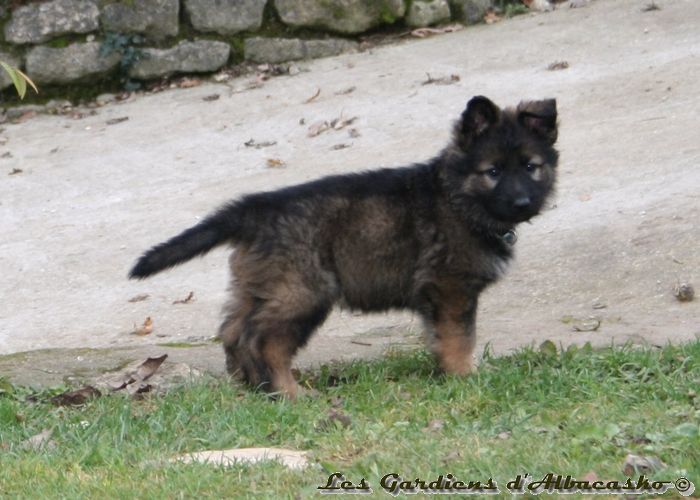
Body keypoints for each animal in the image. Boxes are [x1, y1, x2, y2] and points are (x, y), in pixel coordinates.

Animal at [130, 95, 556, 396]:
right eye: (493, 171)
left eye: (530, 166)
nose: (523, 203)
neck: (457, 196)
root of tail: (257, 209)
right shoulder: (451, 287)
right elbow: (460, 337)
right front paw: (465, 375)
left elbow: (443, 337)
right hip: (303, 291)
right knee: (264, 342)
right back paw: (290, 394)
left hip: (259, 286)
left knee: (235, 333)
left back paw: (255, 389)